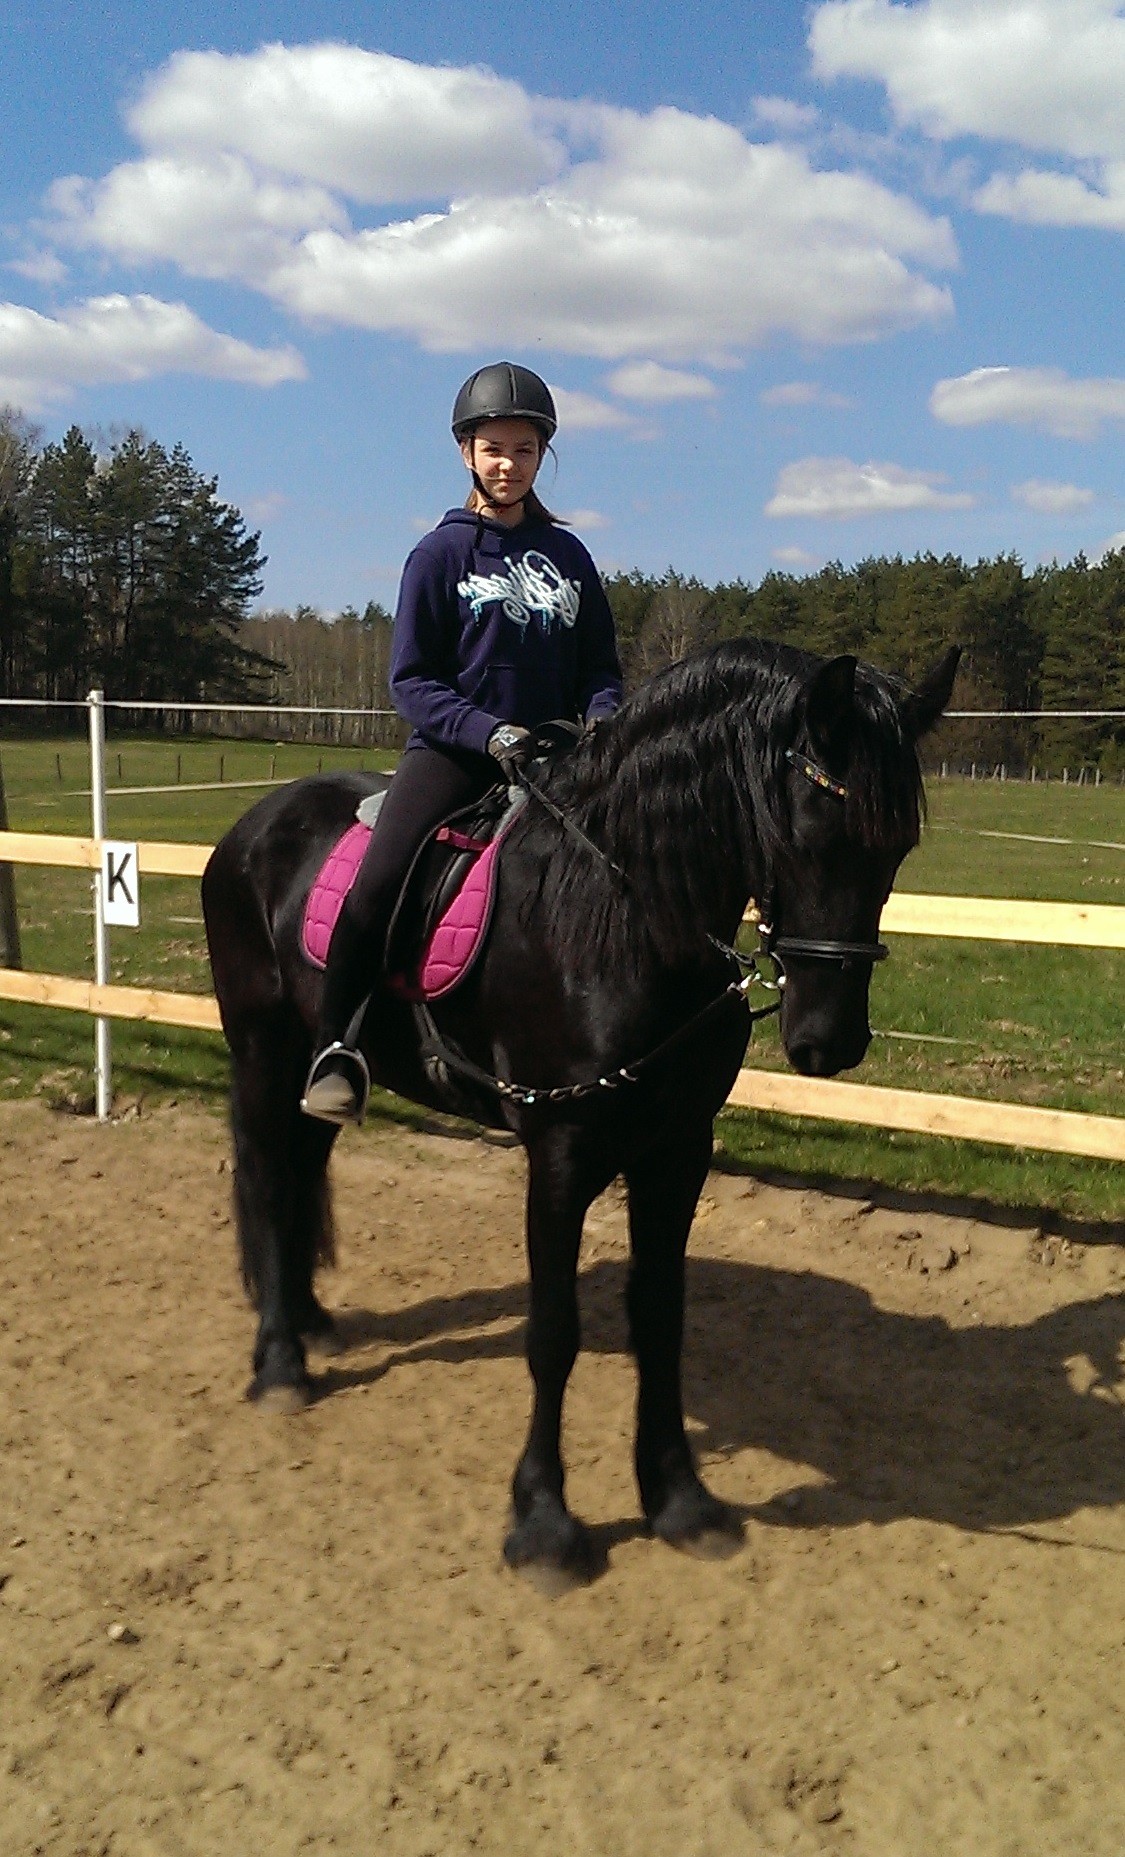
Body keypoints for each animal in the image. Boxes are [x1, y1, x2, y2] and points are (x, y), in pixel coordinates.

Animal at [202, 636, 959, 1584]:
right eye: (812, 832)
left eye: (898, 847)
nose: (830, 1041)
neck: (619, 922)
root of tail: (253, 824)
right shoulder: (559, 1154)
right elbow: (553, 1332)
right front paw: (544, 1522)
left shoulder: (677, 1150)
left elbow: (660, 1316)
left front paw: (679, 1499)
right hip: (263, 1052)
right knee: (271, 1180)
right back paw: (279, 1366)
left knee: (304, 1167)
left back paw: (310, 1324)